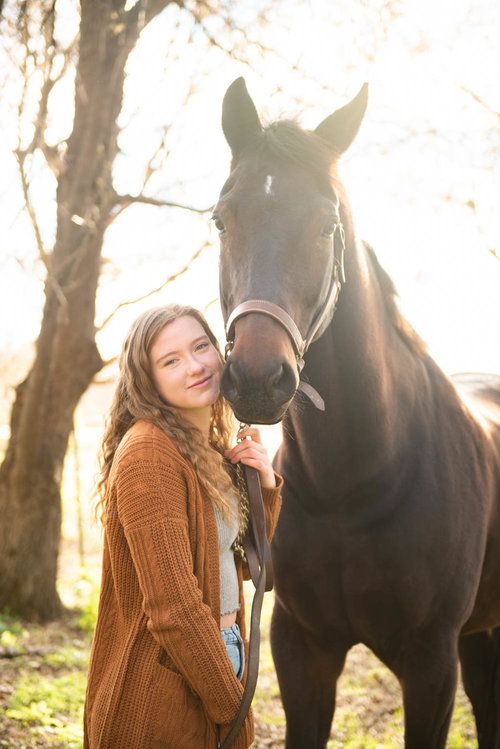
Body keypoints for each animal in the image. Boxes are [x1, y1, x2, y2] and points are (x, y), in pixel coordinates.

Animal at [215, 77, 500, 748]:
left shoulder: (430, 665)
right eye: (221, 219)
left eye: (326, 226)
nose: (258, 379)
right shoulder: (302, 650)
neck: (358, 486)